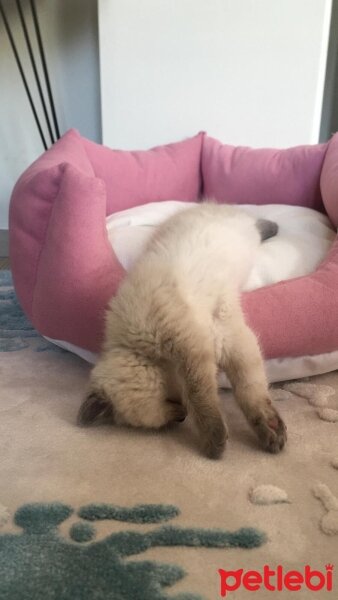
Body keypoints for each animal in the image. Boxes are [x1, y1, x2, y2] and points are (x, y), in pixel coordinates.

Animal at [78, 203, 286, 460]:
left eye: (170, 399)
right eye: (165, 418)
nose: (181, 417)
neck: (142, 348)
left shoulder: (195, 348)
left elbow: (211, 395)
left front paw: (215, 444)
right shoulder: (224, 336)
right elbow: (247, 388)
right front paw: (268, 431)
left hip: (238, 227)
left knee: (253, 221)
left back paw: (273, 226)